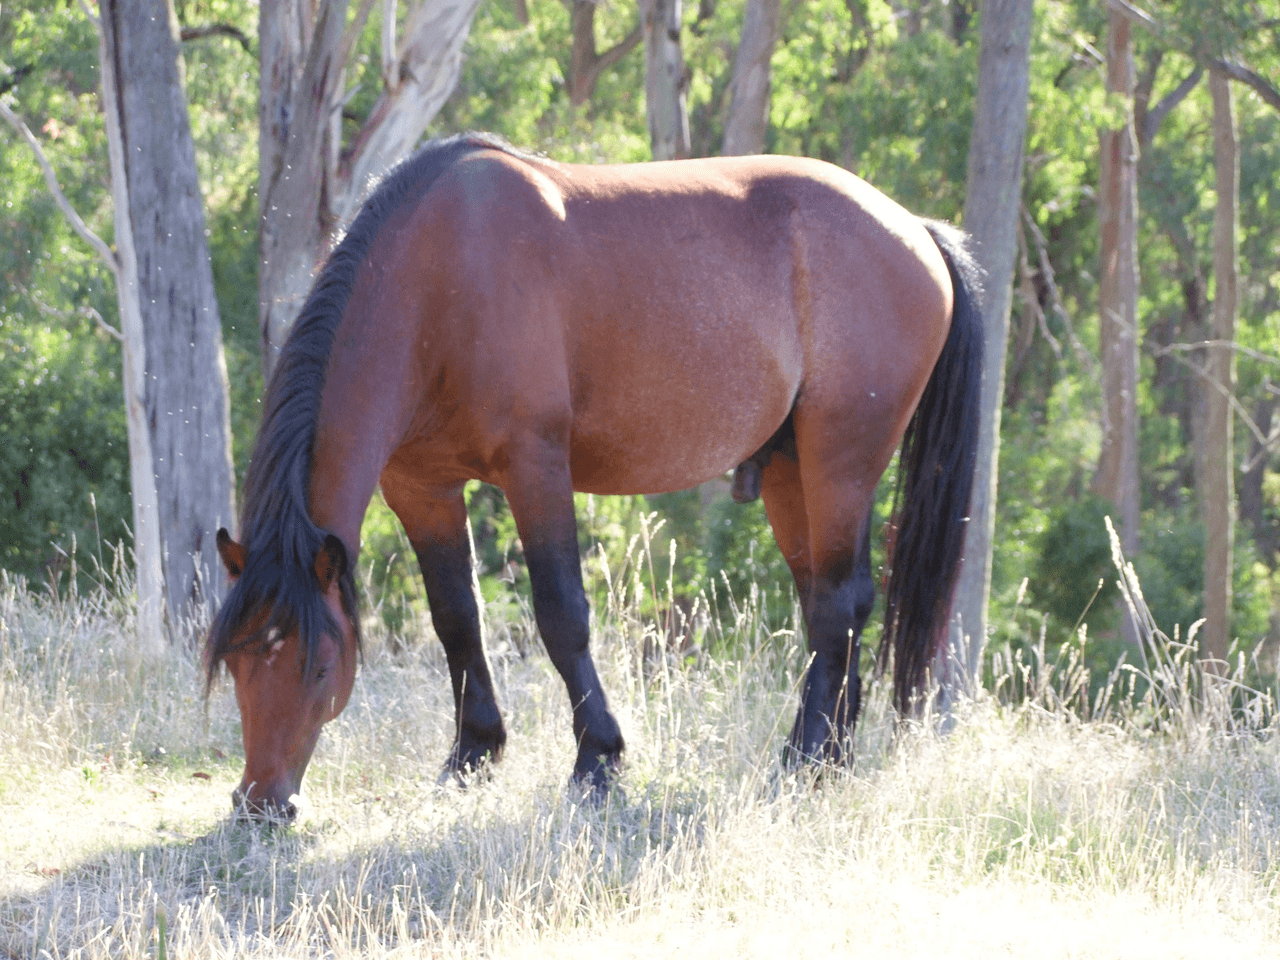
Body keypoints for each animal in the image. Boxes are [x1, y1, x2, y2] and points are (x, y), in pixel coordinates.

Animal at [207, 131, 977, 824]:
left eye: (315, 667)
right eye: (236, 665)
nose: (260, 804)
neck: (437, 285)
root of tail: (916, 230)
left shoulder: (536, 468)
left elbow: (562, 616)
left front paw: (596, 764)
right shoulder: (421, 488)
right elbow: (456, 618)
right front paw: (471, 757)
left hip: (838, 463)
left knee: (840, 604)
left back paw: (802, 762)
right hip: (791, 474)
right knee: (830, 606)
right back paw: (831, 761)